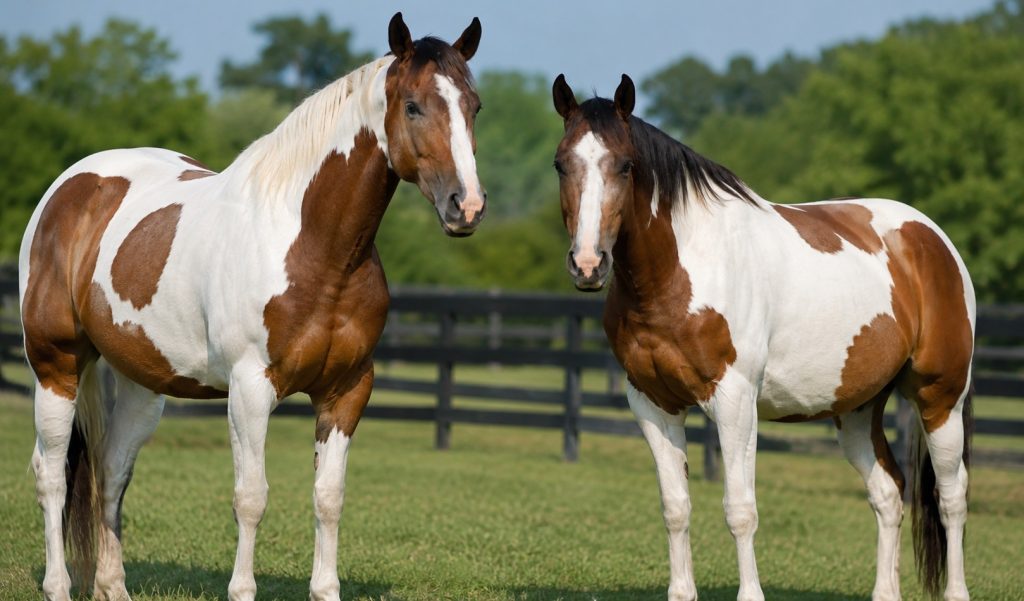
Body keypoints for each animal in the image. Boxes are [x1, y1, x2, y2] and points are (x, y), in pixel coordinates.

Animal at [19, 13, 485, 601]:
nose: (465, 206)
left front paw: (325, 589)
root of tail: (69, 186)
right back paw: (57, 584)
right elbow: (251, 496)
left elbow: (328, 498)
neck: (316, 248)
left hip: (143, 384)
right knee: (52, 473)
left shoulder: (347, 390)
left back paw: (113, 586)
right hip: (56, 365)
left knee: (112, 470)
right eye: (413, 106)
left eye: (474, 106)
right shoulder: (250, 387)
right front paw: (242, 589)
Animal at [551, 74, 974, 601]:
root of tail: (933, 238)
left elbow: (740, 509)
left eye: (626, 165)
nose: (588, 264)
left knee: (951, 498)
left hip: (942, 399)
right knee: (888, 494)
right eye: (560, 163)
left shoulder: (735, 401)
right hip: (857, 409)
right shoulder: (651, 402)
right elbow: (676, 506)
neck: (678, 271)